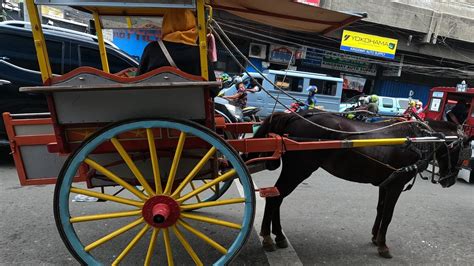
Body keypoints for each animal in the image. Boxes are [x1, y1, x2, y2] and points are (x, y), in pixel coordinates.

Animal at [250, 111, 468, 258]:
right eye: (463, 149)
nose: (449, 181)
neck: (420, 138)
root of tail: (296, 117)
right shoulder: (396, 185)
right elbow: (388, 215)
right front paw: (383, 245)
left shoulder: (386, 184)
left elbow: (380, 210)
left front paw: (375, 237)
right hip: (298, 170)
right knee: (275, 199)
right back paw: (268, 237)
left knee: (277, 199)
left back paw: (279, 236)